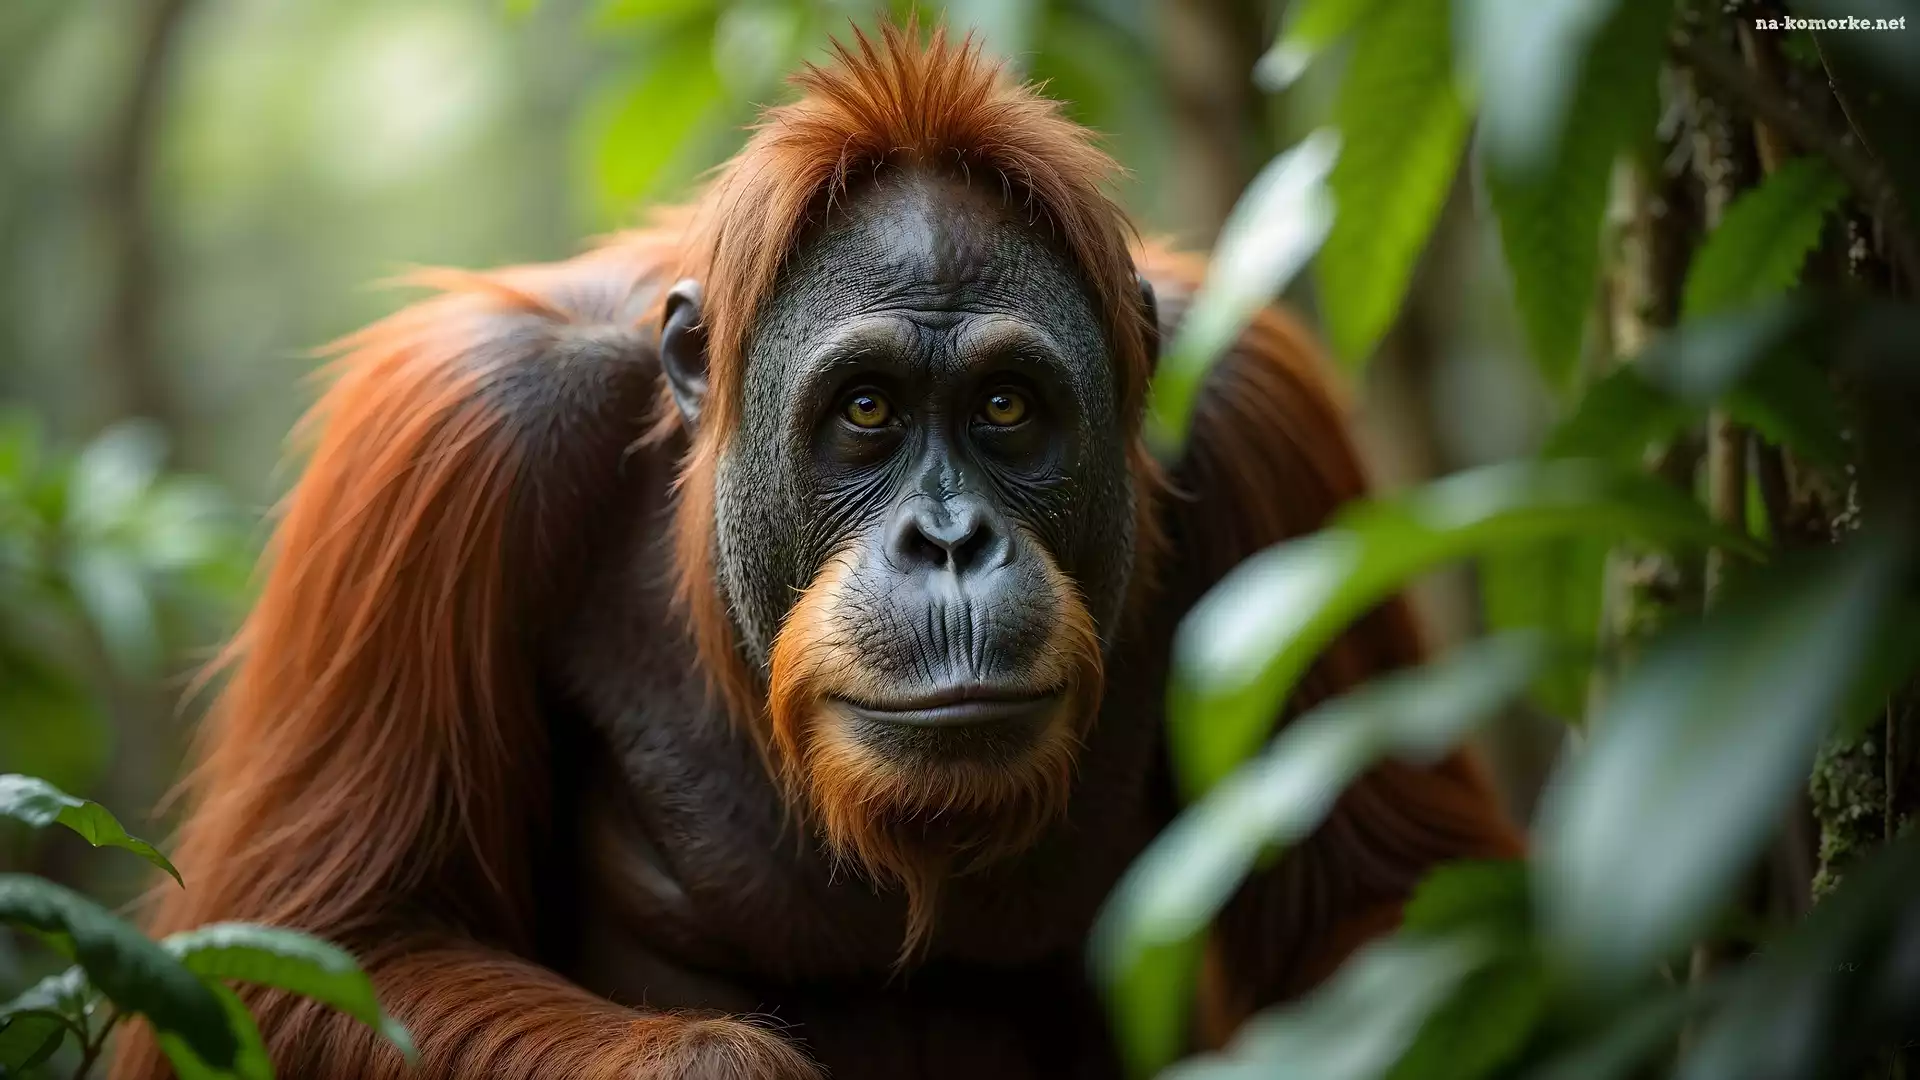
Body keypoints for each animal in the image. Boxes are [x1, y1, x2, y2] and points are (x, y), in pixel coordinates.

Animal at [113, 23, 1520, 1080]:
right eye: (869, 412)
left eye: (1006, 408)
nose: (949, 541)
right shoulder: (451, 440)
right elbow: (319, 948)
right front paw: (719, 1065)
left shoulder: (1263, 427)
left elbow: (1382, 898)